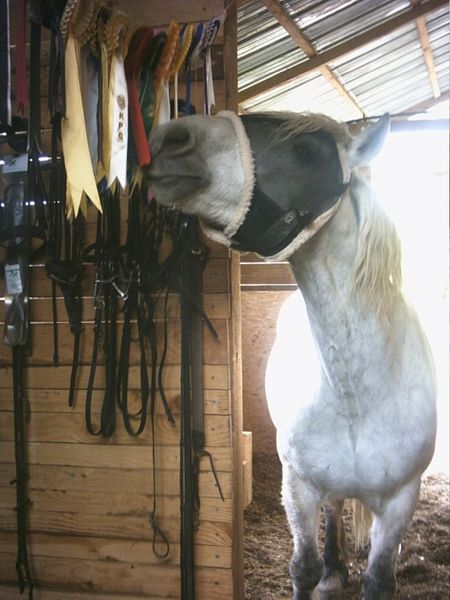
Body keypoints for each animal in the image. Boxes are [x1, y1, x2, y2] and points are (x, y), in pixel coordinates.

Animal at [146, 110, 438, 596]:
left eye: (304, 152)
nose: (170, 137)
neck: (357, 393)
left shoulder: (401, 498)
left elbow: (380, 578)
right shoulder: (298, 487)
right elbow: (304, 566)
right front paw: (324, 573)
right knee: (335, 510)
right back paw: (335, 573)